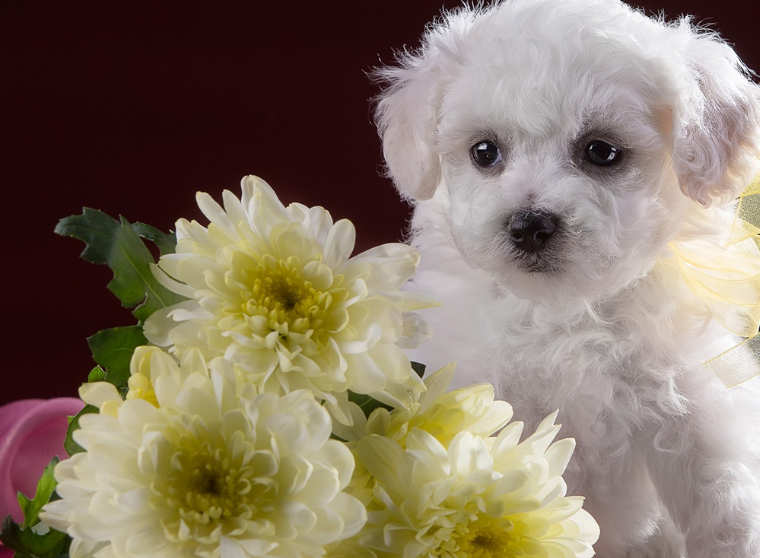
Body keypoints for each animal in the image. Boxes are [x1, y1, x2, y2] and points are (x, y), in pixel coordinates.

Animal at [378, 2, 760, 556]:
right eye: (484, 152)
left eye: (602, 152)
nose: (528, 225)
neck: (562, 311)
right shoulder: (482, 392)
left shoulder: (694, 401)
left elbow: (723, 498)